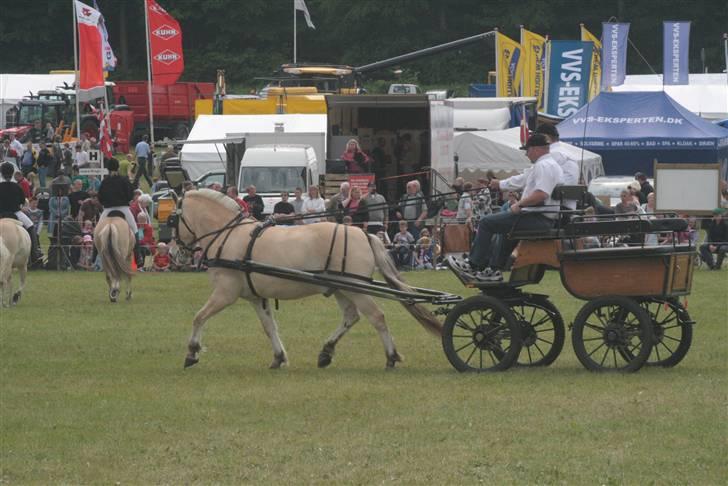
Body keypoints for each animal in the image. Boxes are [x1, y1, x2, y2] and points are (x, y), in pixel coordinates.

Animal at [175, 189, 444, 368]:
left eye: (173, 219)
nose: (179, 252)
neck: (229, 236)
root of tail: (364, 234)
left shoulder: (225, 293)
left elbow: (199, 317)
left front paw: (192, 353)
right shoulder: (256, 297)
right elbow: (269, 327)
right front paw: (278, 357)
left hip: (356, 288)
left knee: (377, 317)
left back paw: (391, 357)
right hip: (340, 288)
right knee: (351, 317)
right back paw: (326, 352)